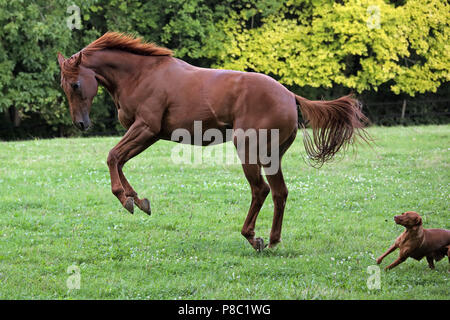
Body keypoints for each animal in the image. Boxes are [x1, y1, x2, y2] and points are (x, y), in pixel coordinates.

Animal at [58, 31, 370, 250]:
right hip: (271, 157)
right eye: (64, 86)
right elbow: (119, 161)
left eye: (75, 84)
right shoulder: (147, 134)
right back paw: (272, 240)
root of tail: (289, 95)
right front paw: (138, 200)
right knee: (279, 193)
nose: (81, 124)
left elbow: (113, 157)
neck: (141, 74)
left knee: (260, 191)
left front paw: (127, 200)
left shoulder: (146, 128)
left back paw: (252, 237)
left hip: (249, 150)